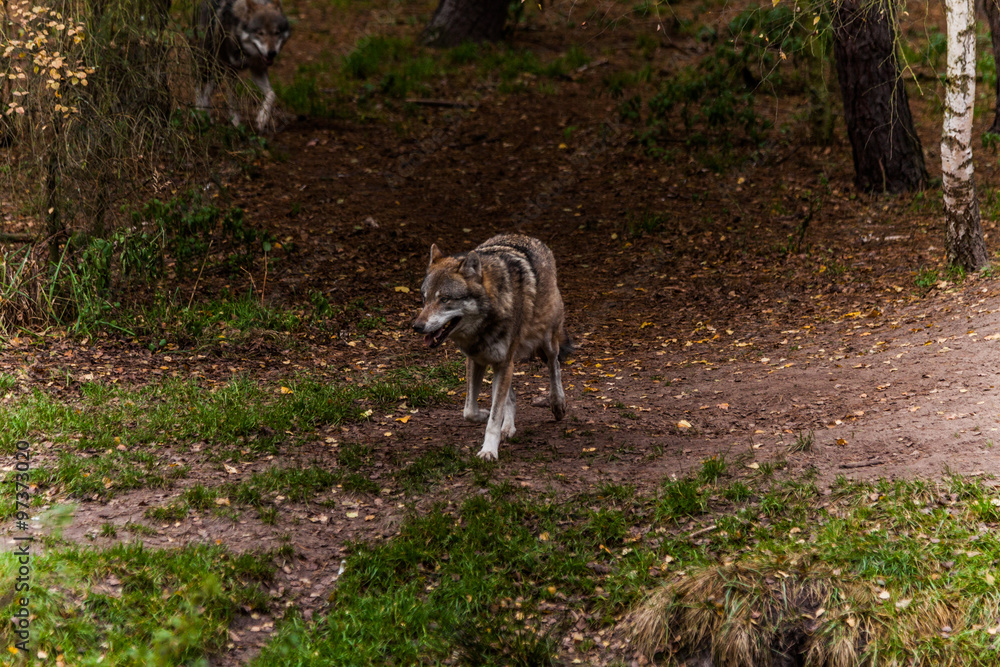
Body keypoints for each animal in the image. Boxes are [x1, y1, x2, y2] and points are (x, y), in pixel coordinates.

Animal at [195, 0, 290, 130]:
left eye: (277, 33)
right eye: (260, 33)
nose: (271, 53)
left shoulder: (258, 70)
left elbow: (271, 94)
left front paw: (262, 119)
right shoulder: (231, 70)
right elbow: (233, 99)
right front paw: (236, 122)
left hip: (218, 72)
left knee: (207, 94)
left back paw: (207, 118)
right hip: (208, 64)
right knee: (199, 86)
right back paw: (198, 114)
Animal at [413, 234, 572, 461]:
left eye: (444, 299)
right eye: (424, 299)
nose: (417, 326)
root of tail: (528, 237)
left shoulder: (503, 363)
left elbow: (494, 417)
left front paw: (488, 450)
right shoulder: (478, 360)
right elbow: (470, 411)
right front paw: (484, 416)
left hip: (547, 340)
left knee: (554, 366)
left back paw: (557, 404)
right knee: (510, 396)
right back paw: (508, 428)